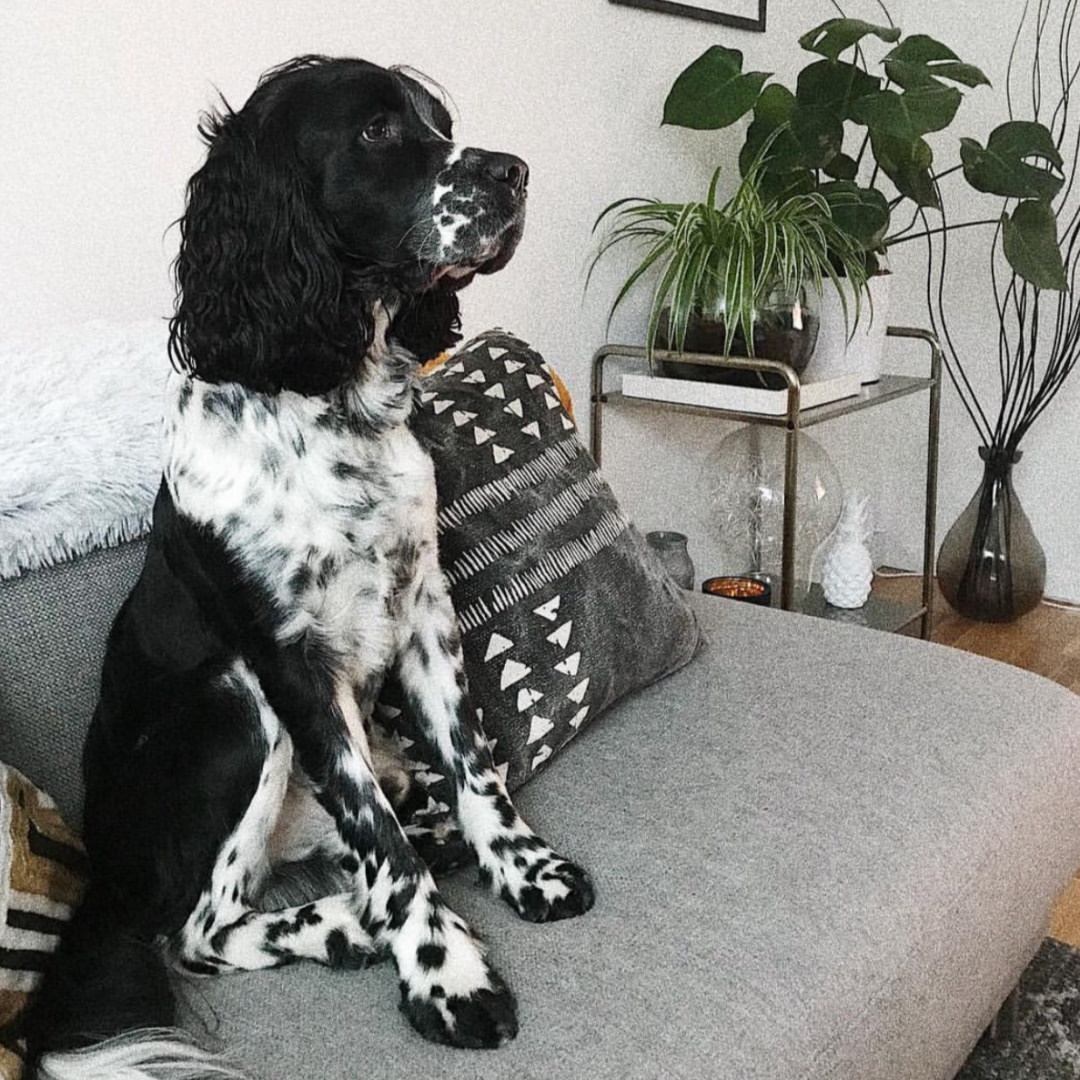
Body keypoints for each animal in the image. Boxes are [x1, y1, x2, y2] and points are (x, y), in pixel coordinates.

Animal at [29, 59, 596, 1080]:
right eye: (375, 131)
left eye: (439, 119)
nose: (516, 173)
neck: (327, 401)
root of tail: (103, 870)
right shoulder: (287, 659)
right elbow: (380, 843)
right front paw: (444, 973)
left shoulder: (423, 604)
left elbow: (475, 763)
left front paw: (521, 867)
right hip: (232, 706)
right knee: (200, 932)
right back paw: (350, 927)